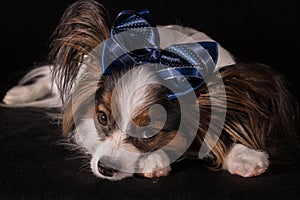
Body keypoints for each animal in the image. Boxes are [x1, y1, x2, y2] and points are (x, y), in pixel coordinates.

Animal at [1, 0, 298, 181]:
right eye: (102, 118)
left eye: (150, 132)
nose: (105, 169)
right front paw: (153, 161)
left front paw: (246, 155)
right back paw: (17, 94)